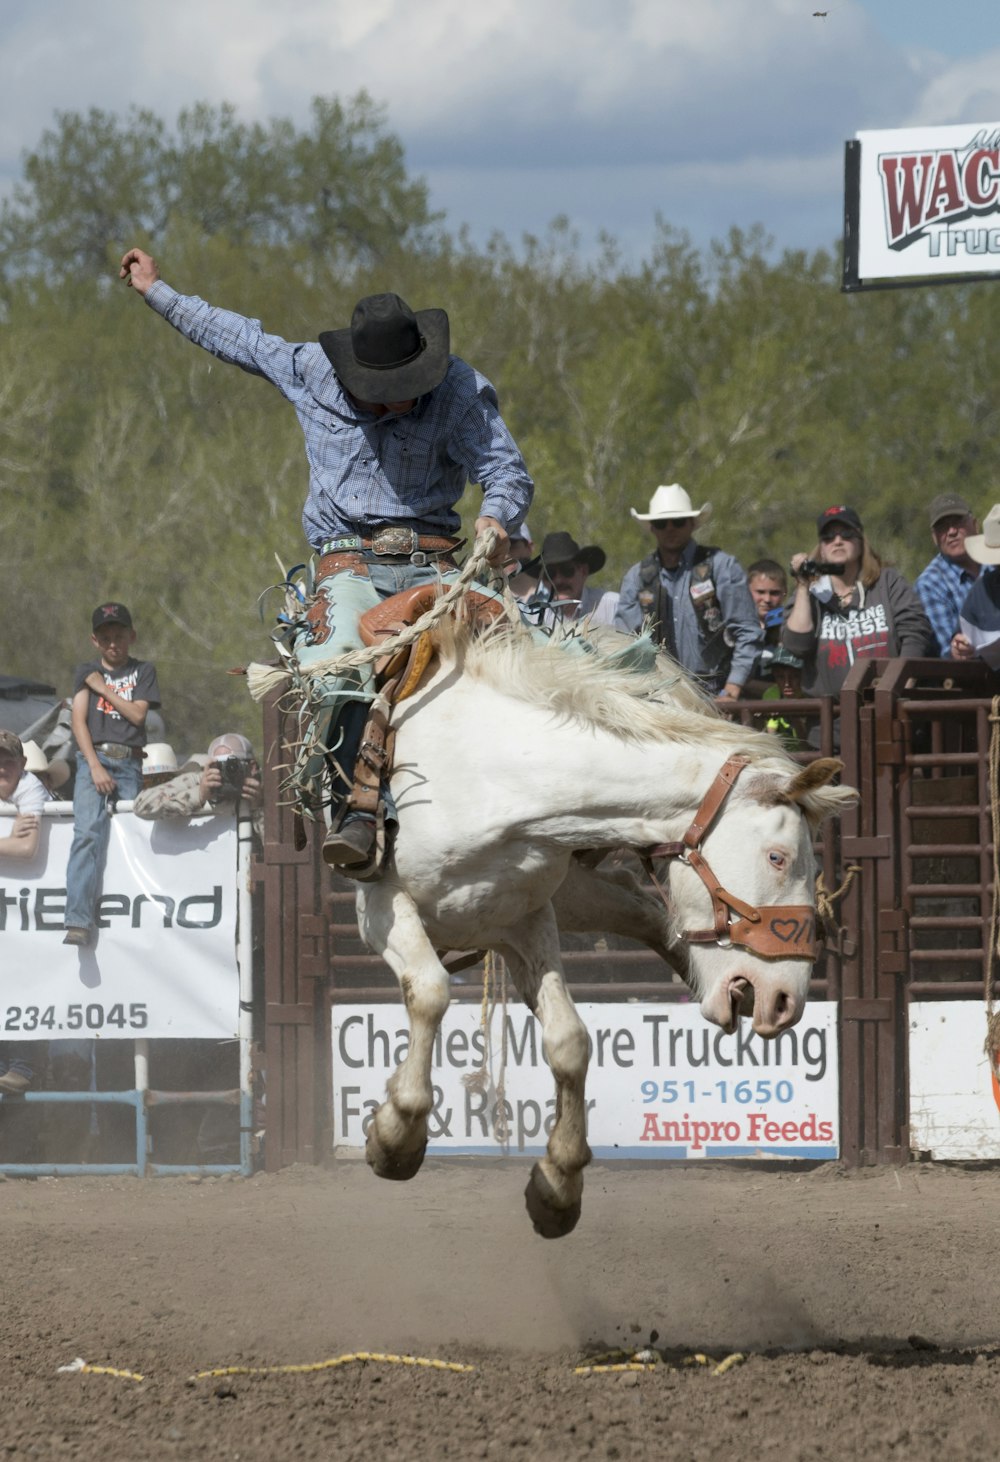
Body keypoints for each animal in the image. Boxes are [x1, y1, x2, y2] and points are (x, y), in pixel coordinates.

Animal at [347, 622, 853, 1239]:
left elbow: (569, 1040)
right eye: (779, 857)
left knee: (643, 909)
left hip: (573, 896)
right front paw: (394, 1135)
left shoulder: (526, 916)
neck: (492, 774)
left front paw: (558, 1184)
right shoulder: (380, 904)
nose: (785, 1001)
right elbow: (430, 992)